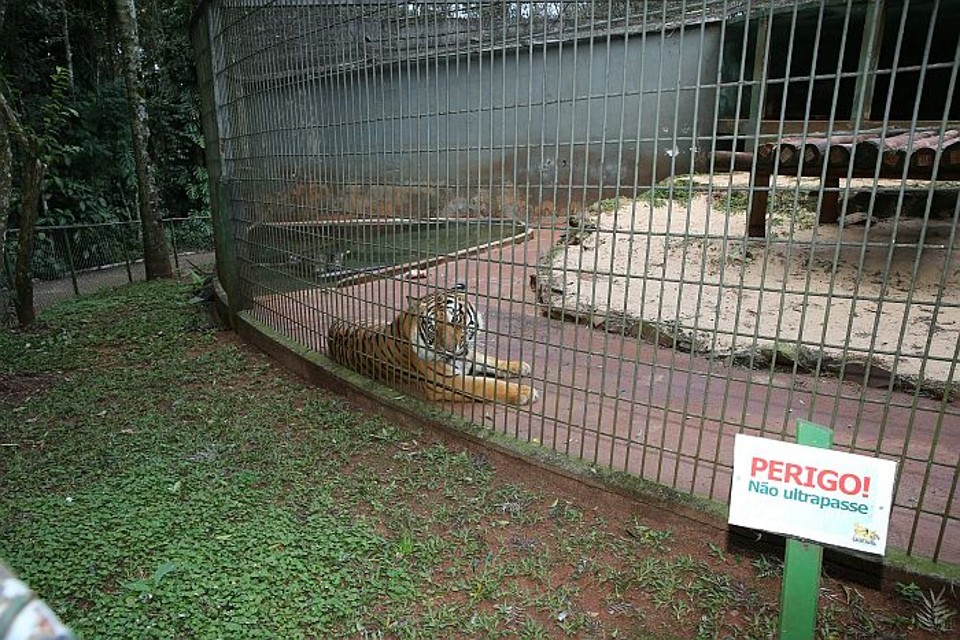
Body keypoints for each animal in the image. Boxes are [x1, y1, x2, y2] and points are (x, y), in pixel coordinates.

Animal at [327, 285, 538, 405]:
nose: (450, 350)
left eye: (456, 319)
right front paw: (525, 391)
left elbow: (489, 359)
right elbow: (486, 384)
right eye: (432, 328)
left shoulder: (469, 355)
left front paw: (519, 366)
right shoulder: (445, 382)